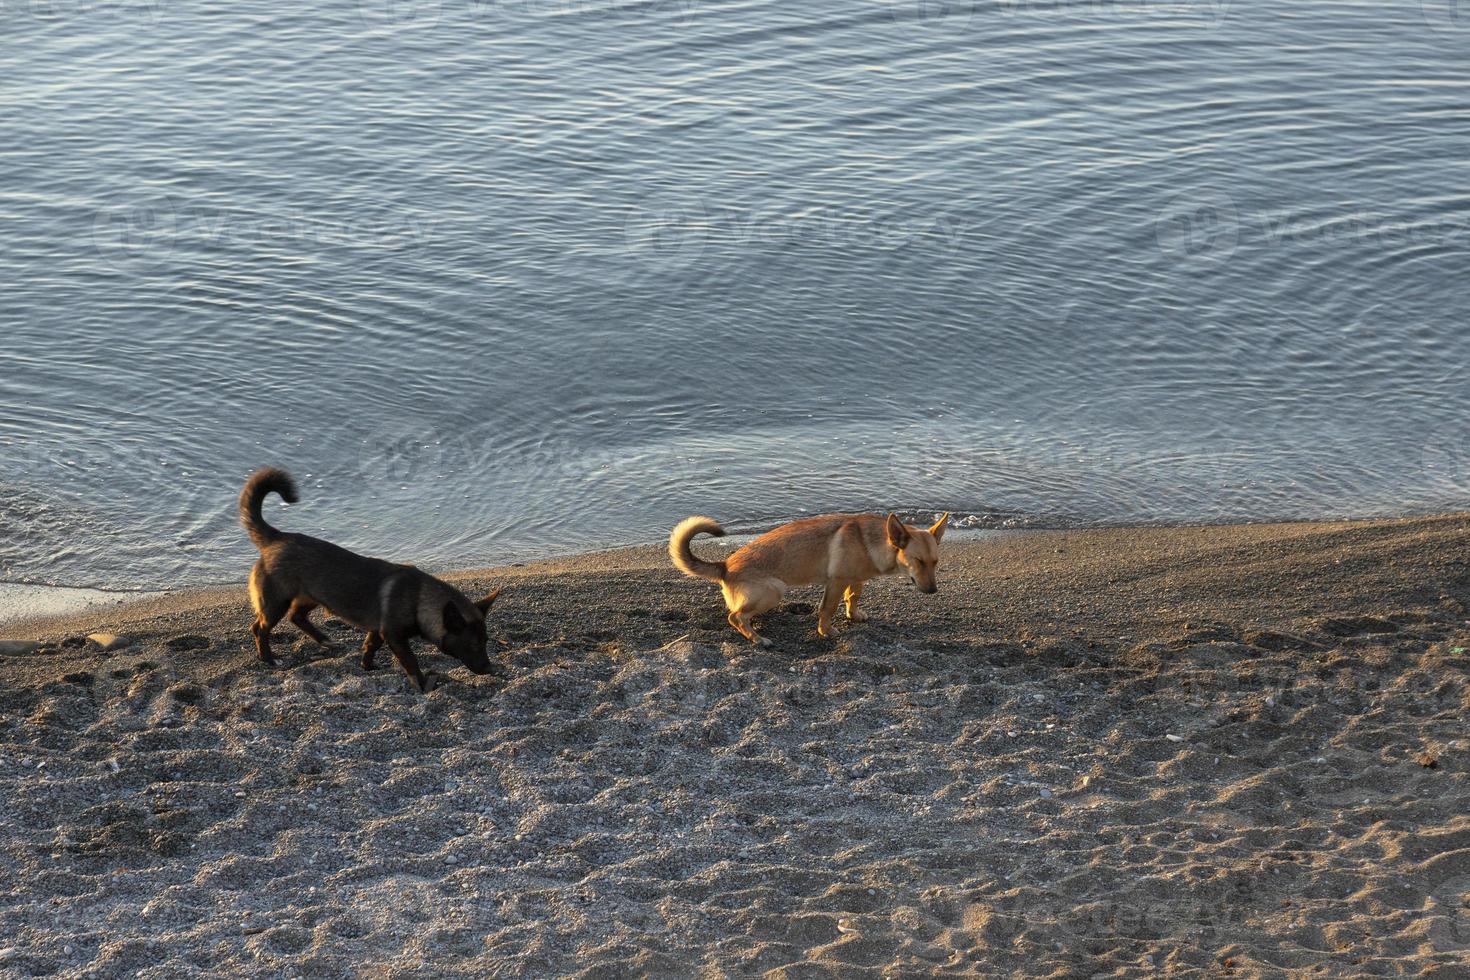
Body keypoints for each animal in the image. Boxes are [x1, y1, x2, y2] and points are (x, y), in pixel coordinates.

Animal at [670, 511, 946, 646]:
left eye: (935, 562)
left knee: (740, 615)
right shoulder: (835, 582)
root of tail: (725, 566)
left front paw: (854, 615)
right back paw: (758, 639)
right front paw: (826, 631)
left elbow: (853, 597)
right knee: (735, 617)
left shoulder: (855, 579)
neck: (875, 543)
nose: (933, 591)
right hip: (775, 590)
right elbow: (828, 609)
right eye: (918, 561)